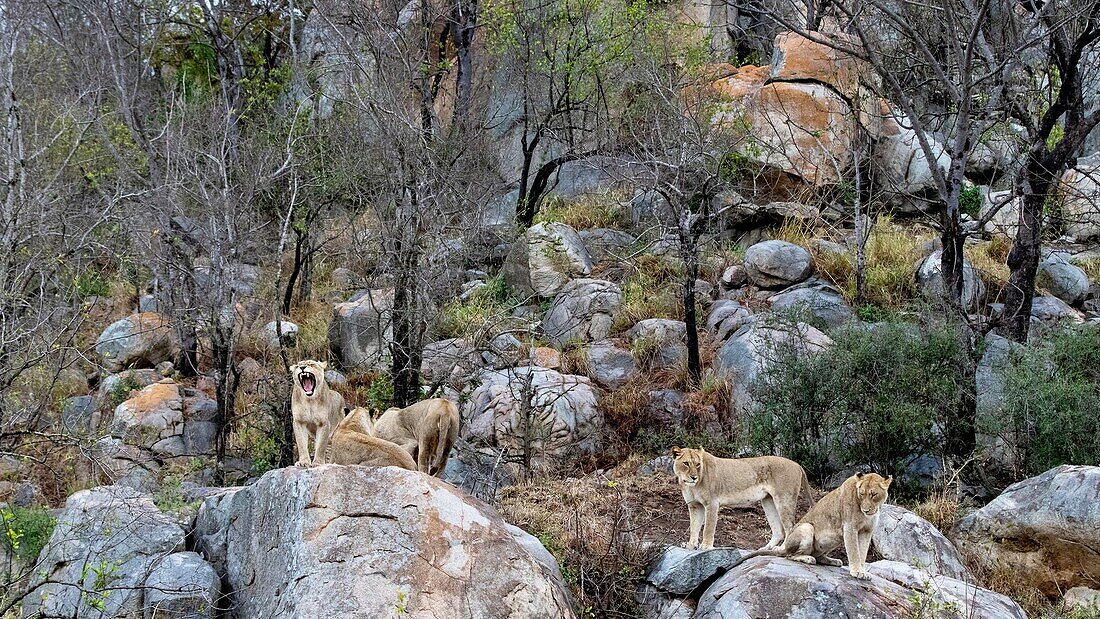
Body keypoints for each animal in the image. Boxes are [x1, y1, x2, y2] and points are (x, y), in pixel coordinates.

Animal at [664, 446, 814, 551]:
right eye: (686, 463)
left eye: (697, 464)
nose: (694, 477)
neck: (691, 486)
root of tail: (797, 464)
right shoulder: (695, 505)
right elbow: (694, 527)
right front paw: (691, 545)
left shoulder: (712, 503)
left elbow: (708, 527)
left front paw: (705, 547)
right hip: (768, 501)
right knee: (778, 530)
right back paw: (765, 548)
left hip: (784, 499)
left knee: (790, 527)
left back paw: (781, 548)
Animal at [743, 472, 897, 580]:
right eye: (861, 494)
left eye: (873, 495)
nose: (866, 510)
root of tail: (784, 547)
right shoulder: (850, 528)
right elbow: (854, 552)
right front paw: (857, 572)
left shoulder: (866, 531)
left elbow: (863, 552)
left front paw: (863, 571)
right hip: (807, 528)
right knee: (790, 555)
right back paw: (807, 558)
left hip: (833, 539)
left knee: (818, 557)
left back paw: (833, 561)